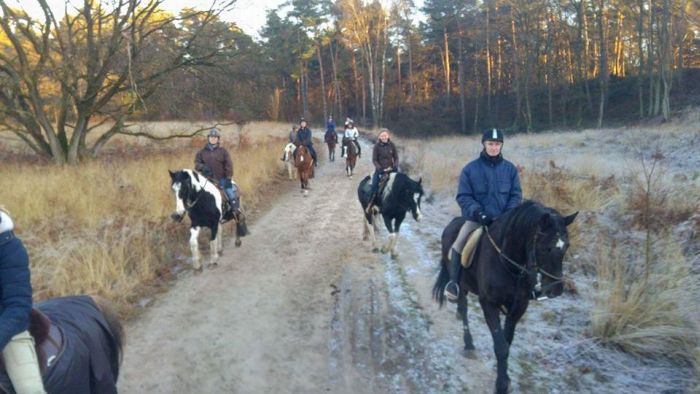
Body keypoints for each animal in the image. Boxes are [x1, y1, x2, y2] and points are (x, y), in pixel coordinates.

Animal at [432, 202, 580, 392]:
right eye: (544, 248)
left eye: (566, 246)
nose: (555, 290)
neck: (508, 265)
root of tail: (454, 223)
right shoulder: (489, 304)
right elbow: (501, 346)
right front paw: (501, 385)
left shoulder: (518, 308)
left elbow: (506, 342)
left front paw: (504, 375)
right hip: (460, 283)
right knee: (464, 308)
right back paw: (469, 344)